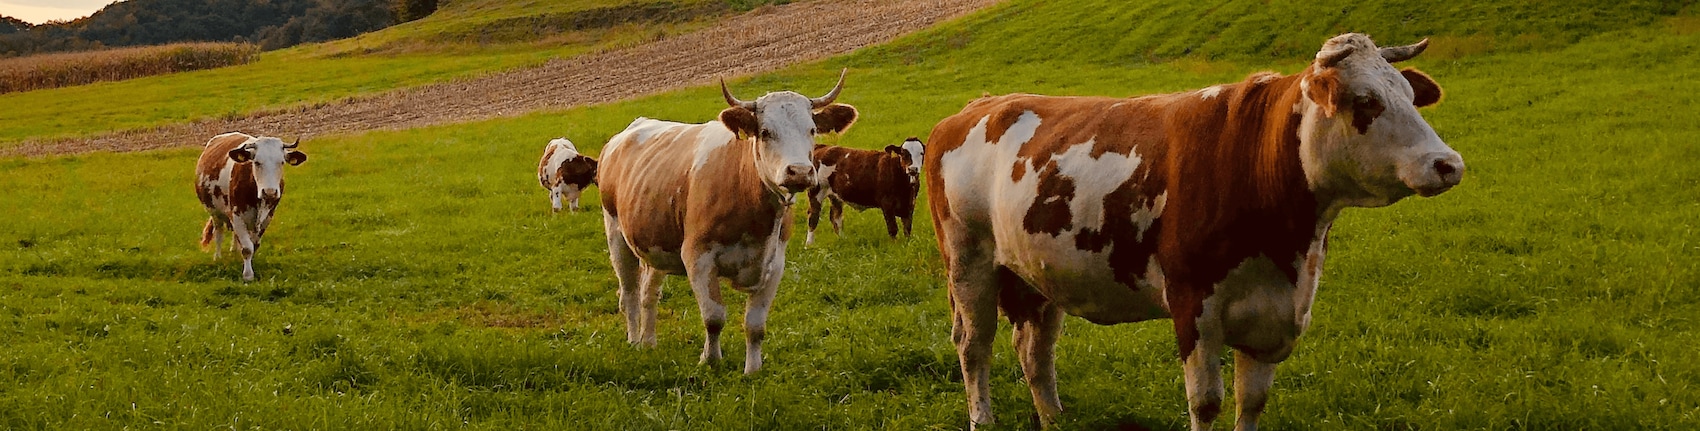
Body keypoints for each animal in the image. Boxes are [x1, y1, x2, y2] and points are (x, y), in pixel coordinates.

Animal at [195, 132, 309, 282]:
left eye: (282, 162)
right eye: (257, 162)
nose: (269, 192)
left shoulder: (267, 217)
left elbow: (254, 245)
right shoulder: (236, 215)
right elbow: (247, 248)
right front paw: (248, 275)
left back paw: (234, 253)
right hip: (215, 212)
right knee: (219, 233)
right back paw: (218, 257)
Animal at [597, 70, 858, 374]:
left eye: (812, 130)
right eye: (765, 132)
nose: (800, 172)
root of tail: (628, 130)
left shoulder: (775, 262)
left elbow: (755, 325)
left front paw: (753, 370)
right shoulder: (697, 256)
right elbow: (714, 317)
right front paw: (710, 360)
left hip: (654, 242)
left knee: (649, 293)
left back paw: (649, 342)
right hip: (616, 233)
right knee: (629, 293)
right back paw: (634, 341)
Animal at [924, 34, 1463, 430]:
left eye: (1411, 96)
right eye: (1365, 101)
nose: (1448, 164)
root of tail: (976, 106)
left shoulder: (1273, 318)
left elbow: (1252, 402)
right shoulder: (1193, 307)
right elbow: (1205, 402)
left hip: (1037, 271)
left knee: (1034, 348)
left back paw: (1056, 419)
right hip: (968, 261)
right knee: (974, 344)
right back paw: (982, 419)